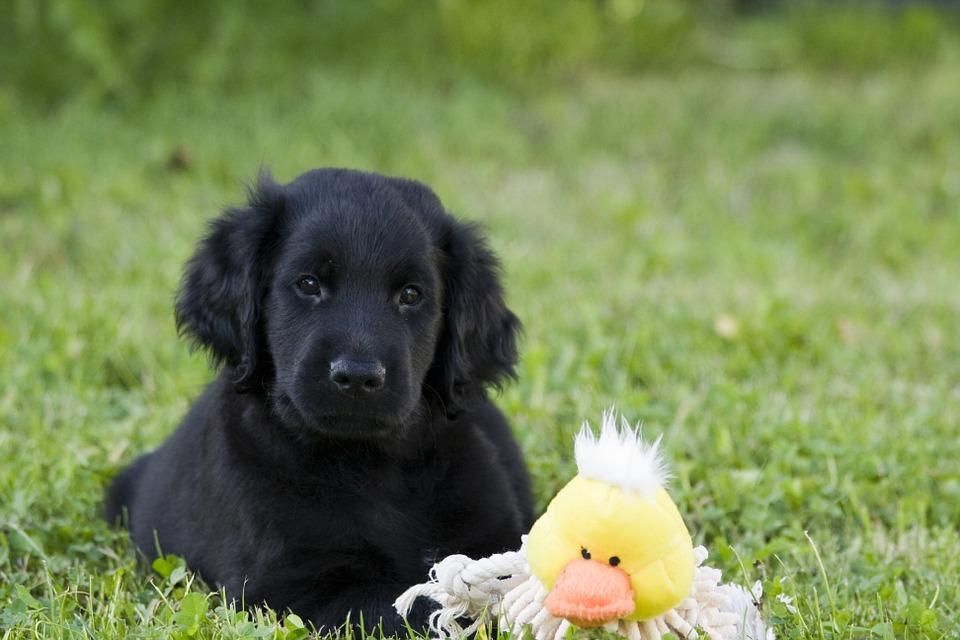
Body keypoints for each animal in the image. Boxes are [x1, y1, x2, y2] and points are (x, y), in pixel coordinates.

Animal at [109, 169, 536, 636]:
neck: (373, 467)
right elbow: (417, 608)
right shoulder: (292, 586)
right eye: (309, 284)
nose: (358, 376)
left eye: (411, 294)